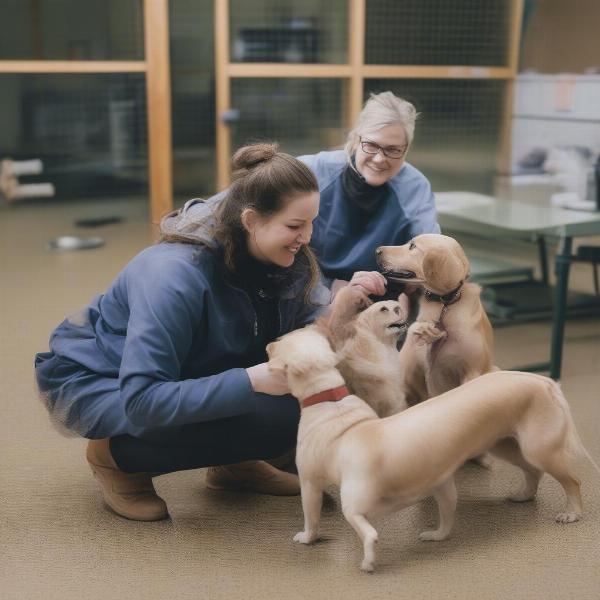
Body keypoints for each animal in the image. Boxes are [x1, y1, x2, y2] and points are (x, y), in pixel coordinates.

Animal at [266, 328, 584, 572]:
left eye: (279, 344)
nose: (267, 344)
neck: (329, 399)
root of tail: (542, 380)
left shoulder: (310, 484)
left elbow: (312, 517)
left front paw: (306, 538)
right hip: (503, 448)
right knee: (526, 475)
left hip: (539, 449)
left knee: (572, 481)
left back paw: (572, 513)